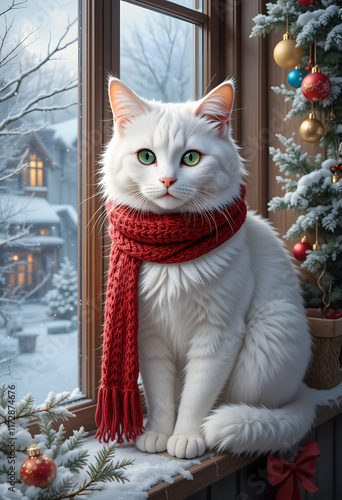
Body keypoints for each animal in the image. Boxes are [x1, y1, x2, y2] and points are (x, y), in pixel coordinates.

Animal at [101, 79, 316, 460]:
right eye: (146, 157)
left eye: (191, 158)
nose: (168, 181)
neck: (171, 258)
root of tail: (303, 392)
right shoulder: (150, 337)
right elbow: (161, 398)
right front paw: (159, 433)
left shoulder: (217, 335)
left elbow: (196, 396)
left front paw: (185, 437)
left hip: (267, 339)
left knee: (236, 404)